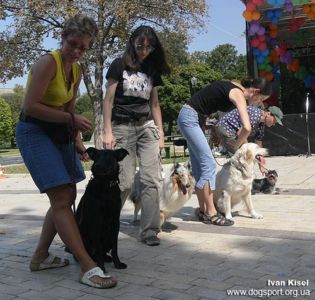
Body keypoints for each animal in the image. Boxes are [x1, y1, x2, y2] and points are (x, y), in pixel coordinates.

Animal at [75, 146, 128, 274]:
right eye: (97, 156)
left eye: (110, 157)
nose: (98, 166)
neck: (105, 187)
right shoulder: (96, 222)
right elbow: (98, 248)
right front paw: (101, 267)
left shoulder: (115, 222)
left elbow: (115, 247)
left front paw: (117, 263)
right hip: (84, 239)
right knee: (88, 254)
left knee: (104, 251)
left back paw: (107, 258)